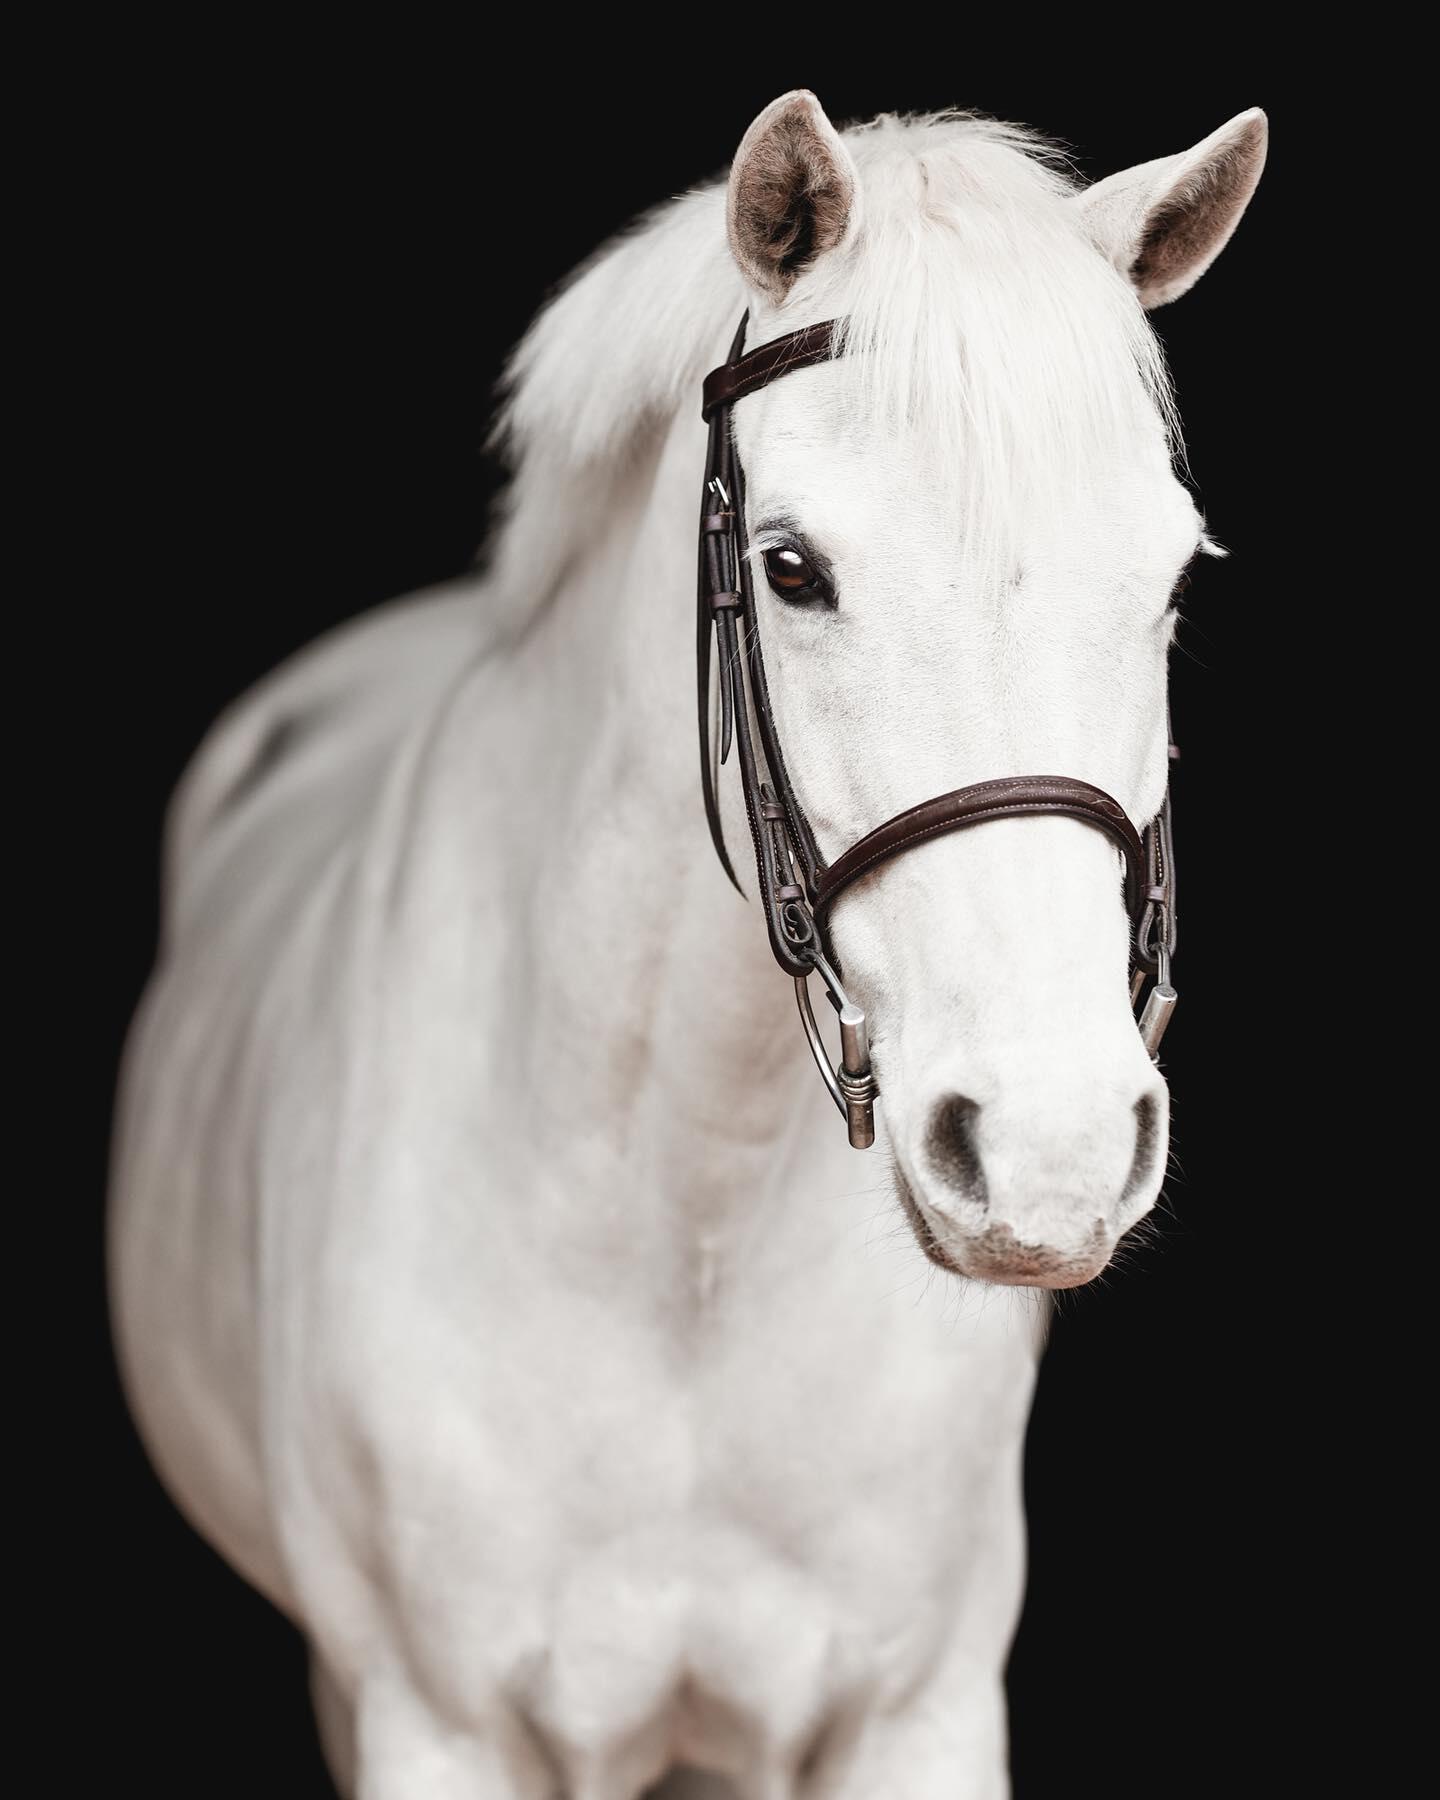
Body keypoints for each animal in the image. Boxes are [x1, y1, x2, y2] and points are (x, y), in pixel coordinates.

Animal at [110, 94, 1267, 1798]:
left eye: (1175, 576)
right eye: (790, 567)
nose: (1048, 1153)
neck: (677, 1236)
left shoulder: (916, 1716)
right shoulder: (434, 1723)